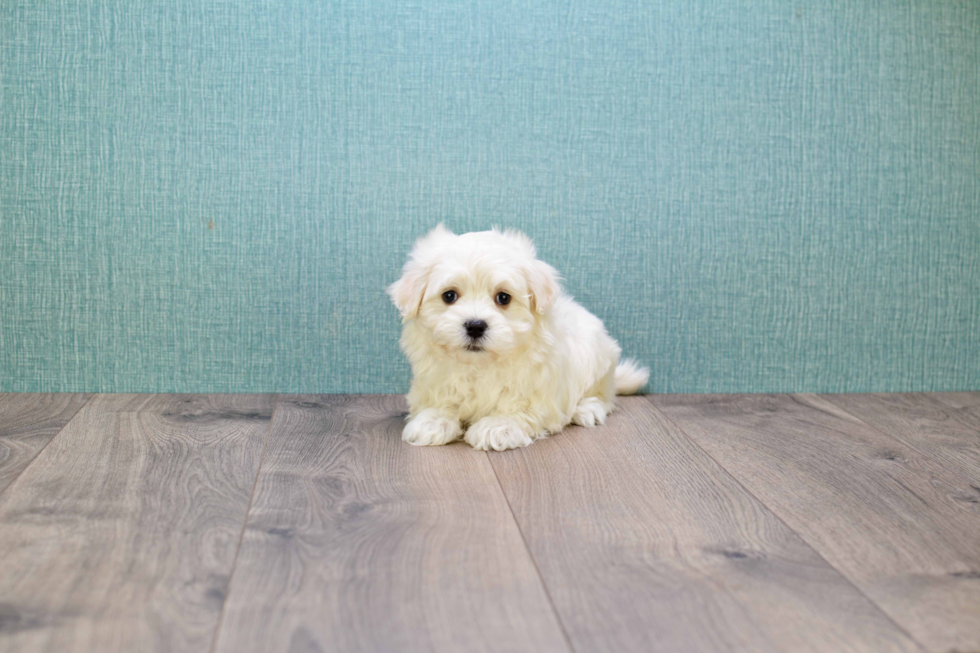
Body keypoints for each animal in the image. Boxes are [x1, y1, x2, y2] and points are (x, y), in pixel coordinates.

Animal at [384, 224, 652, 448]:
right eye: (449, 296)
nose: (475, 326)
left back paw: (586, 409)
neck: (480, 365)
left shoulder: (537, 390)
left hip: (598, 357)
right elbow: (441, 400)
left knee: (602, 396)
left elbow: (521, 409)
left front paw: (497, 426)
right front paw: (432, 420)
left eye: (503, 298)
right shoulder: (435, 379)